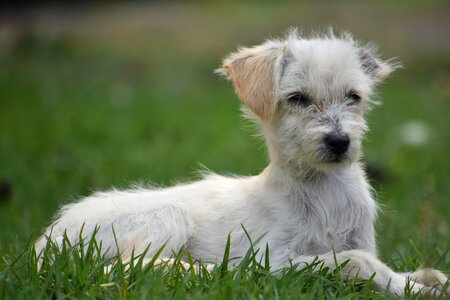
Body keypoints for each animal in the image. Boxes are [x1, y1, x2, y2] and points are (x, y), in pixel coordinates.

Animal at [36, 30, 450, 296]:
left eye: (354, 97)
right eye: (297, 99)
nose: (339, 141)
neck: (323, 194)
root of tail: (43, 244)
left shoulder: (354, 239)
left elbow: (399, 265)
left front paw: (425, 278)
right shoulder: (273, 262)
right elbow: (360, 261)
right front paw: (412, 288)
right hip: (167, 217)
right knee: (126, 267)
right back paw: (206, 271)